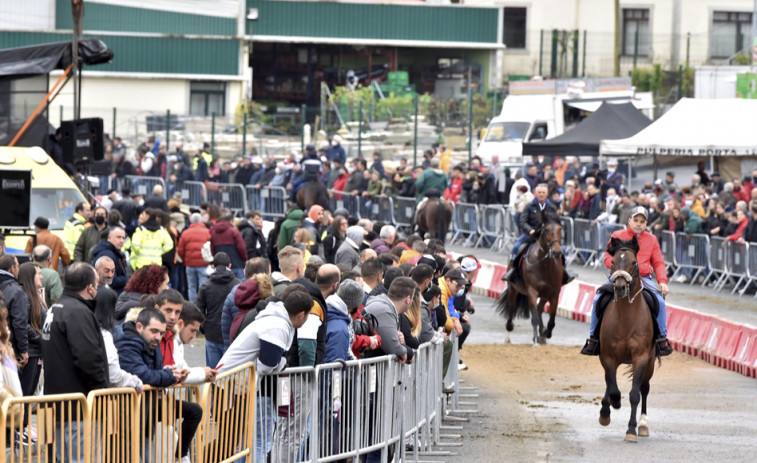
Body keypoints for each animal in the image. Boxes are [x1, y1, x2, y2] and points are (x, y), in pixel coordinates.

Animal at [494, 214, 564, 344]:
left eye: (560, 229)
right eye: (545, 230)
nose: (556, 252)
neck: (545, 265)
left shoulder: (554, 293)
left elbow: (551, 320)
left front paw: (545, 334)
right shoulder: (532, 291)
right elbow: (534, 318)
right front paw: (536, 339)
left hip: (544, 295)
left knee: (540, 309)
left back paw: (542, 333)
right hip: (513, 289)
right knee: (512, 308)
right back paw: (509, 333)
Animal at [596, 237, 656, 444]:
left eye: (634, 262)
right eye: (613, 262)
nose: (620, 288)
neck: (626, 318)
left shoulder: (641, 357)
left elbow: (635, 394)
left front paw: (631, 430)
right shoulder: (607, 357)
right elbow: (612, 388)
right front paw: (608, 409)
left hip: (650, 363)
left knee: (644, 388)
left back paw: (644, 425)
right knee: (609, 382)